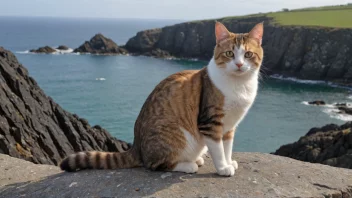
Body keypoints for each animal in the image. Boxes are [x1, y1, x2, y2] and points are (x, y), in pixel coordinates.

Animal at [59, 21, 264, 176]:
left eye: (248, 54)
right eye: (229, 53)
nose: (239, 64)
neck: (238, 85)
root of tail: (137, 147)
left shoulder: (229, 126)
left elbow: (227, 147)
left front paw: (229, 161)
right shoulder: (210, 122)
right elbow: (219, 149)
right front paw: (223, 167)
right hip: (176, 134)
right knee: (155, 165)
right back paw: (188, 165)